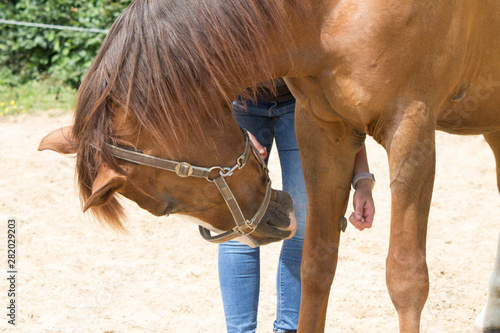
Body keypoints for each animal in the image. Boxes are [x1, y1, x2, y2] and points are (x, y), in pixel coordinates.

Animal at [38, 0, 500, 330]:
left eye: (164, 205)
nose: (268, 223)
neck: (326, 14)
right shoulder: (321, 129)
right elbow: (315, 265)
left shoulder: (411, 131)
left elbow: (406, 279)